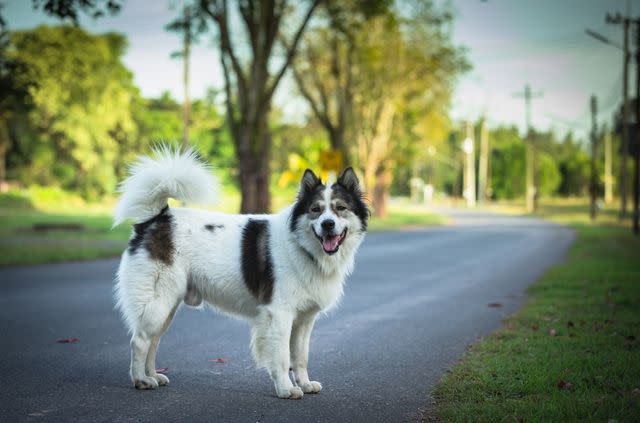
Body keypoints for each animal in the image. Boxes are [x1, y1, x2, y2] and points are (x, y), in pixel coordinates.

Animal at [112, 149, 368, 400]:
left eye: (340, 208)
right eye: (316, 210)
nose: (327, 224)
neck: (302, 246)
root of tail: (157, 218)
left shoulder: (304, 319)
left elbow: (300, 357)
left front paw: (304, 384)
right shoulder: (279, 314)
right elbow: (282, 357)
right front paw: (285, 389)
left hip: (166, 307)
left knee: (153, 341)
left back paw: (153, 375)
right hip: (157, 304)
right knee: (140, 341)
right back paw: (141, 380)